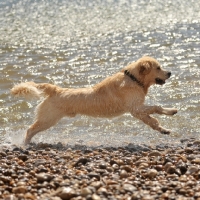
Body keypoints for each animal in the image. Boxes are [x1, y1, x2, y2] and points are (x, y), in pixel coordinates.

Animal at [10, 55, 177, 145]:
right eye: (158, 67)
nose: (170, 72)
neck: (133, 79)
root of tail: (56, 89)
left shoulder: (138, 111)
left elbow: (153, 122)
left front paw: (164, 129)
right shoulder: (135, 108)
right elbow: (156, 107)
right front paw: (171, 111)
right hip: (48, 119)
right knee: (30, 129)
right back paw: (24, 145)